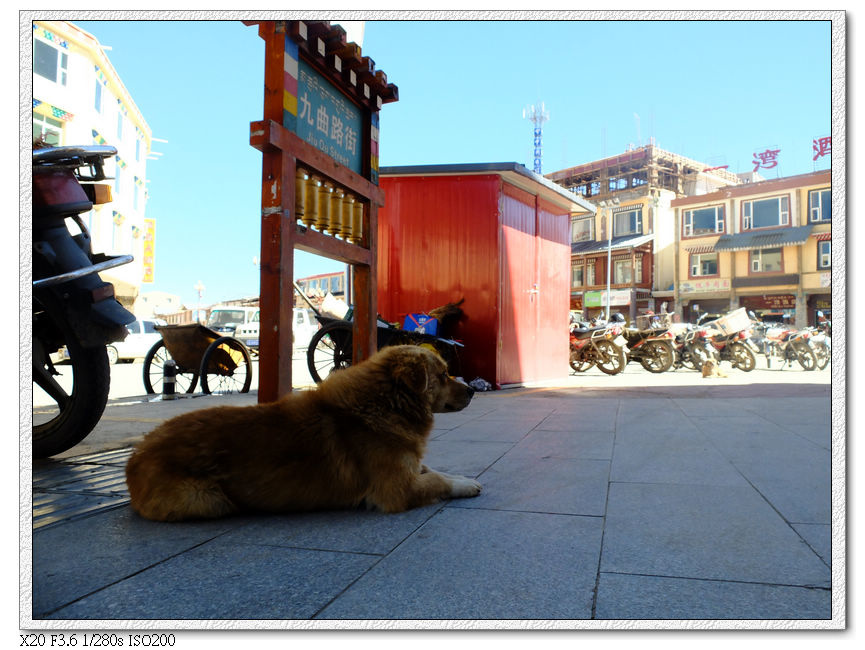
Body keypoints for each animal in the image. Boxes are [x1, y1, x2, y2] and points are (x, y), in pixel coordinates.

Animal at [125, 344, 482, 520]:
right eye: (444, 374)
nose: (472, 391)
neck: (387, 404)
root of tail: (135, 457)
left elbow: (434, 470)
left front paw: (460, 477)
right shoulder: (397, 490)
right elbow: (435, 481)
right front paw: (464, 485)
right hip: (209, 500)